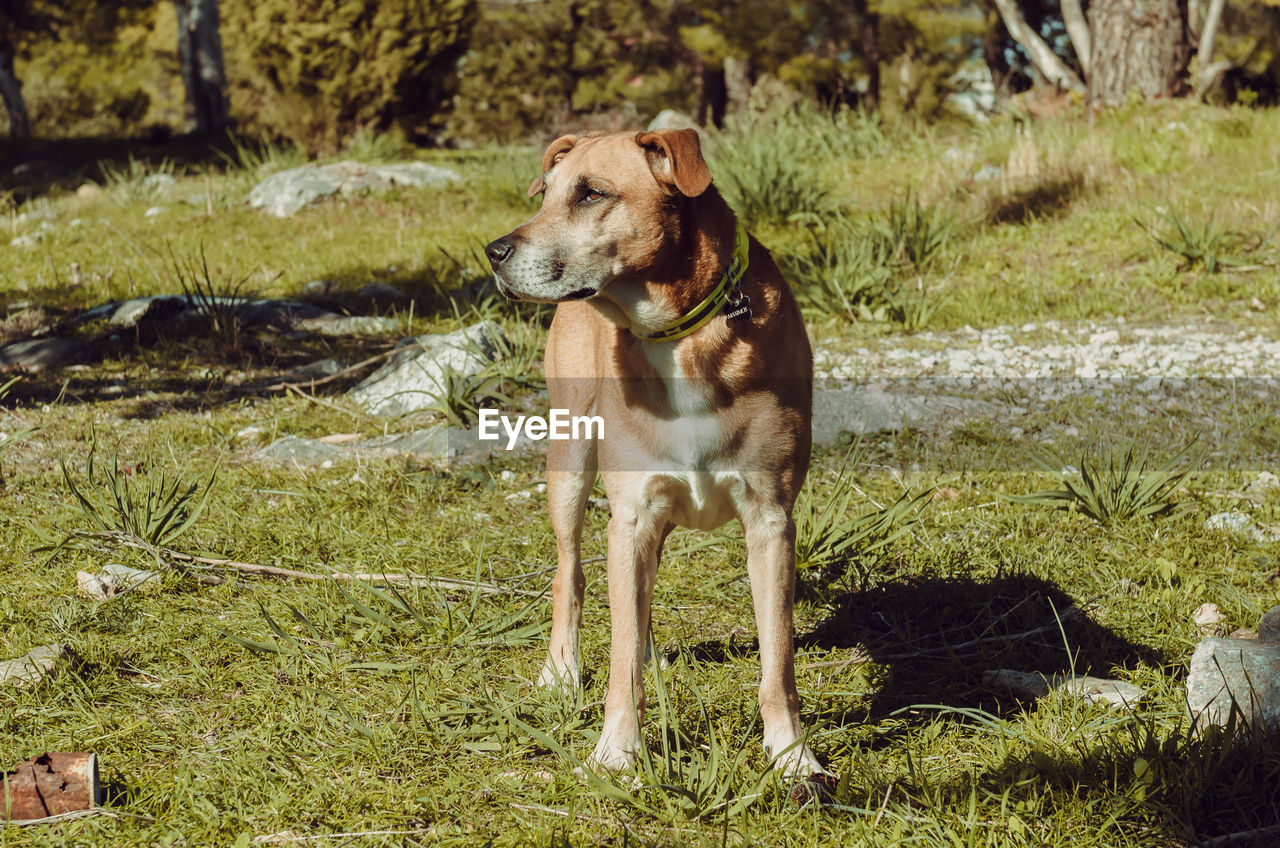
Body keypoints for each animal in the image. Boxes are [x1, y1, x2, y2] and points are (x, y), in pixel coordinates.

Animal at [483, 128, 824, 783]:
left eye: (591, 194)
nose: (495, 251)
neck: (680, 337)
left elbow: (778, 659)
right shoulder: (632, 514)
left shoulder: (771, 521)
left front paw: (792, 756)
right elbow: (620, 668)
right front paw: (616, 755)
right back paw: (561, 670)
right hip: (570, 461)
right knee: (572, 571)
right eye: (547, 193)